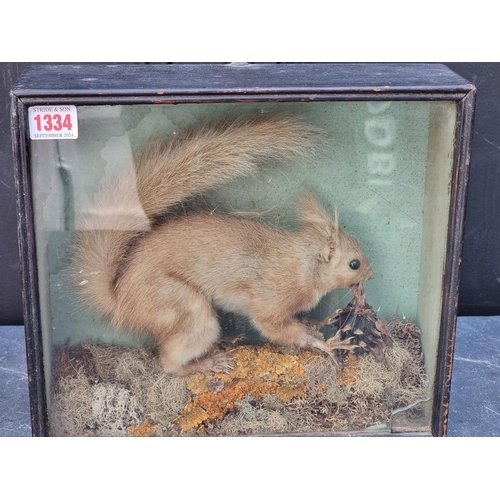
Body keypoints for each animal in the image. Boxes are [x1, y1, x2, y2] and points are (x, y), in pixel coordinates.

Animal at [72, 114, 374, 376]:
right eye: (354, 263)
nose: (371, 275)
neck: (303, 264)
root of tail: (119, 300)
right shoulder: (273, 299)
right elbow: (278, 328)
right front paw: (326, 343)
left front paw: (321, 324)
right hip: (185, 309)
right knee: (169, 363)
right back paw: (207, 363)